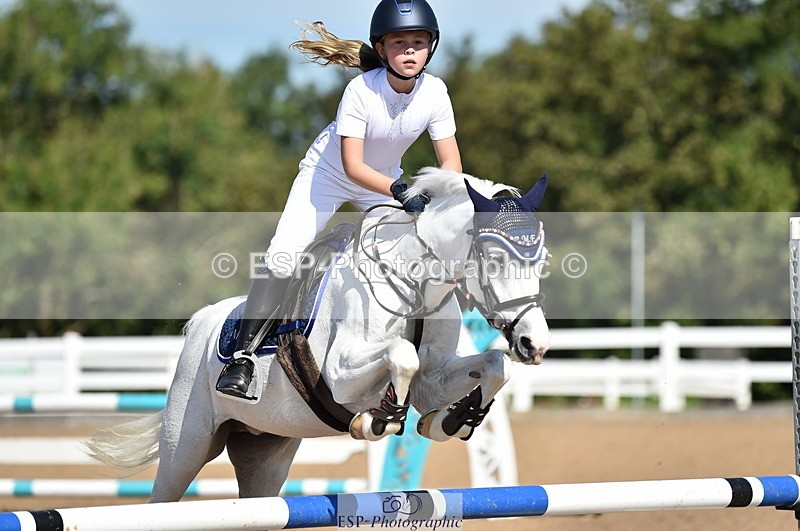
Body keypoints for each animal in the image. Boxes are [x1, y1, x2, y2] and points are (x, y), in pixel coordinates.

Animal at [85, 167, 551, 502]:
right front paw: (380, 420)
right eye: (494, 259)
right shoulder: (341, 375)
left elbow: (494, 365)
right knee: (162, 496)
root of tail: (201, 322)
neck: (416, 282)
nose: (535, 344)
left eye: (541, 259)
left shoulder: (431, 381)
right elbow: (402, 354)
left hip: (265, 454)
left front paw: (451, 421)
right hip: (186, 447)